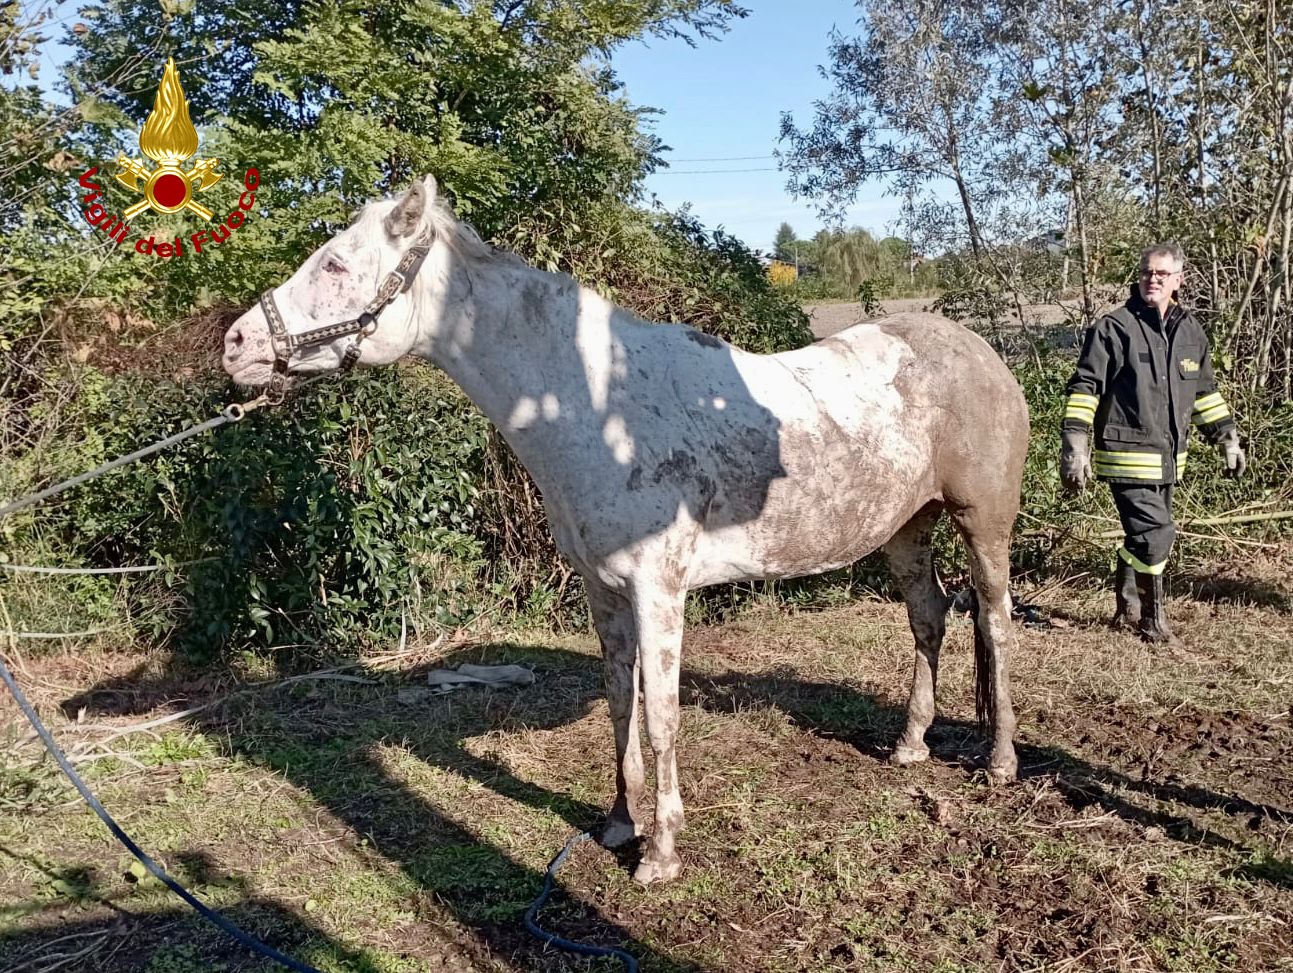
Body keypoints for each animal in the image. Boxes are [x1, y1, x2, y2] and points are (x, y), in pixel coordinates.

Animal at [222, 174, 1029, 878]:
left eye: (335, 262)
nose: (235, 344)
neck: (597, 410)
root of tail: (981, 353)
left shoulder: (658, 593)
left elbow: (660, 717)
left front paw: (660, 854)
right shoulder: (603, 591)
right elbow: (618, 703)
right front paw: (617, 822)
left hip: (982, 524)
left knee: (992, 619)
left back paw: (999, 761)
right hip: (906, 529)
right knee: (929, 616)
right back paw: (909, 745)